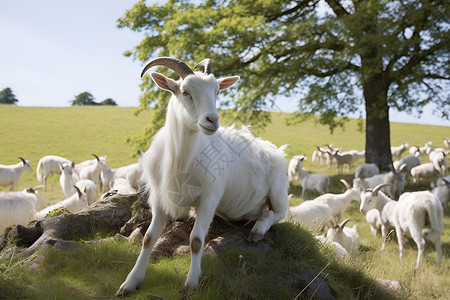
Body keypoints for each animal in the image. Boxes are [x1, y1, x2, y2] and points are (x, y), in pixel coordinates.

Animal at [116, 56, 288, 296]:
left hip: (279, 190)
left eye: (217, 91)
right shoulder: (159, 196)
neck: (181, 158)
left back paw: (258, 229)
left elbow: (196, 241)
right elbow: (148, 238)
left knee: (278, 213)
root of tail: (274, 149)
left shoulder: (209, 196)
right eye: (185, 91)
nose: (212, 120)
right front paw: (130, 282)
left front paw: (191, 283)